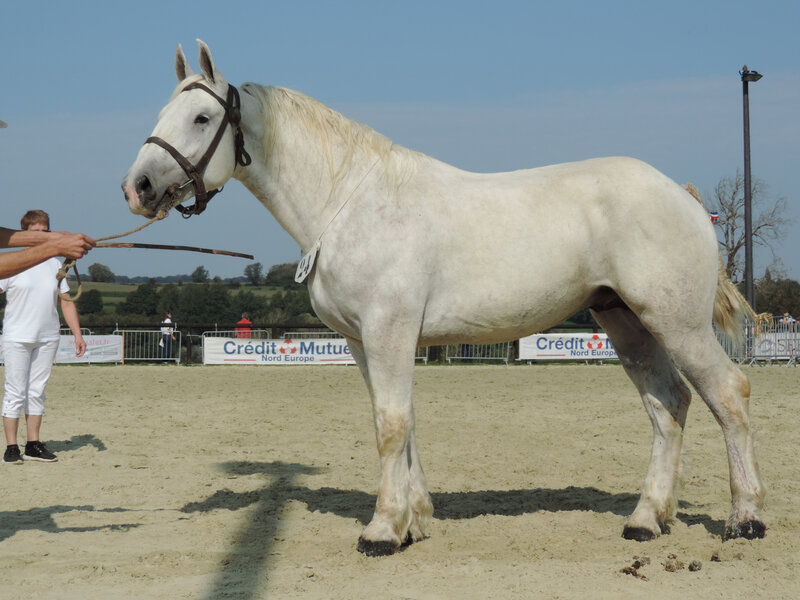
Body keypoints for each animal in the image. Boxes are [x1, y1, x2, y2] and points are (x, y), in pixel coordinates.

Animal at [122, 41, 764, 556]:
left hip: (677, 323)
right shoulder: (364, 342)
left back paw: (745, 519)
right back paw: (646, 520)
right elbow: (399, 422)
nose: (138, 187)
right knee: (668, 405)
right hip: (626, 322)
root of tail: (680, 193)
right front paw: (415, 520)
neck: (350, 203)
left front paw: (383, 531)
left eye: (202, 116)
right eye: (161, 114)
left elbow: (390, 424)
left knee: (728, 395)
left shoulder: (389, 330)